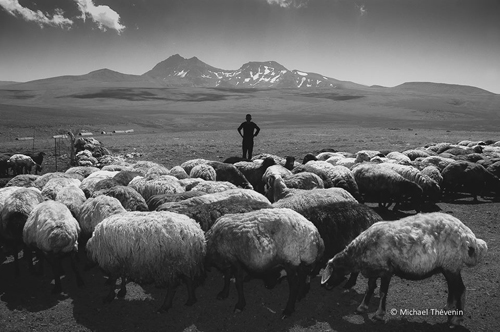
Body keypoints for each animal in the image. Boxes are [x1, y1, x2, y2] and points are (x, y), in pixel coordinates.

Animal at [320, 211, 488, 326]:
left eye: (333, 270)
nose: (326, 286)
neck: (361, 252)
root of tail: (469, 237)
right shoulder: (374, 270)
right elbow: (370, 288)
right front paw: (362, 306)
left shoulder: (386, 271)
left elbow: (382, 292)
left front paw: (379, 314)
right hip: (448, 266)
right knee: (453, 287)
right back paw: (448, 308)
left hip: (452, 264)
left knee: (460, 289)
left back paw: (458, 318)